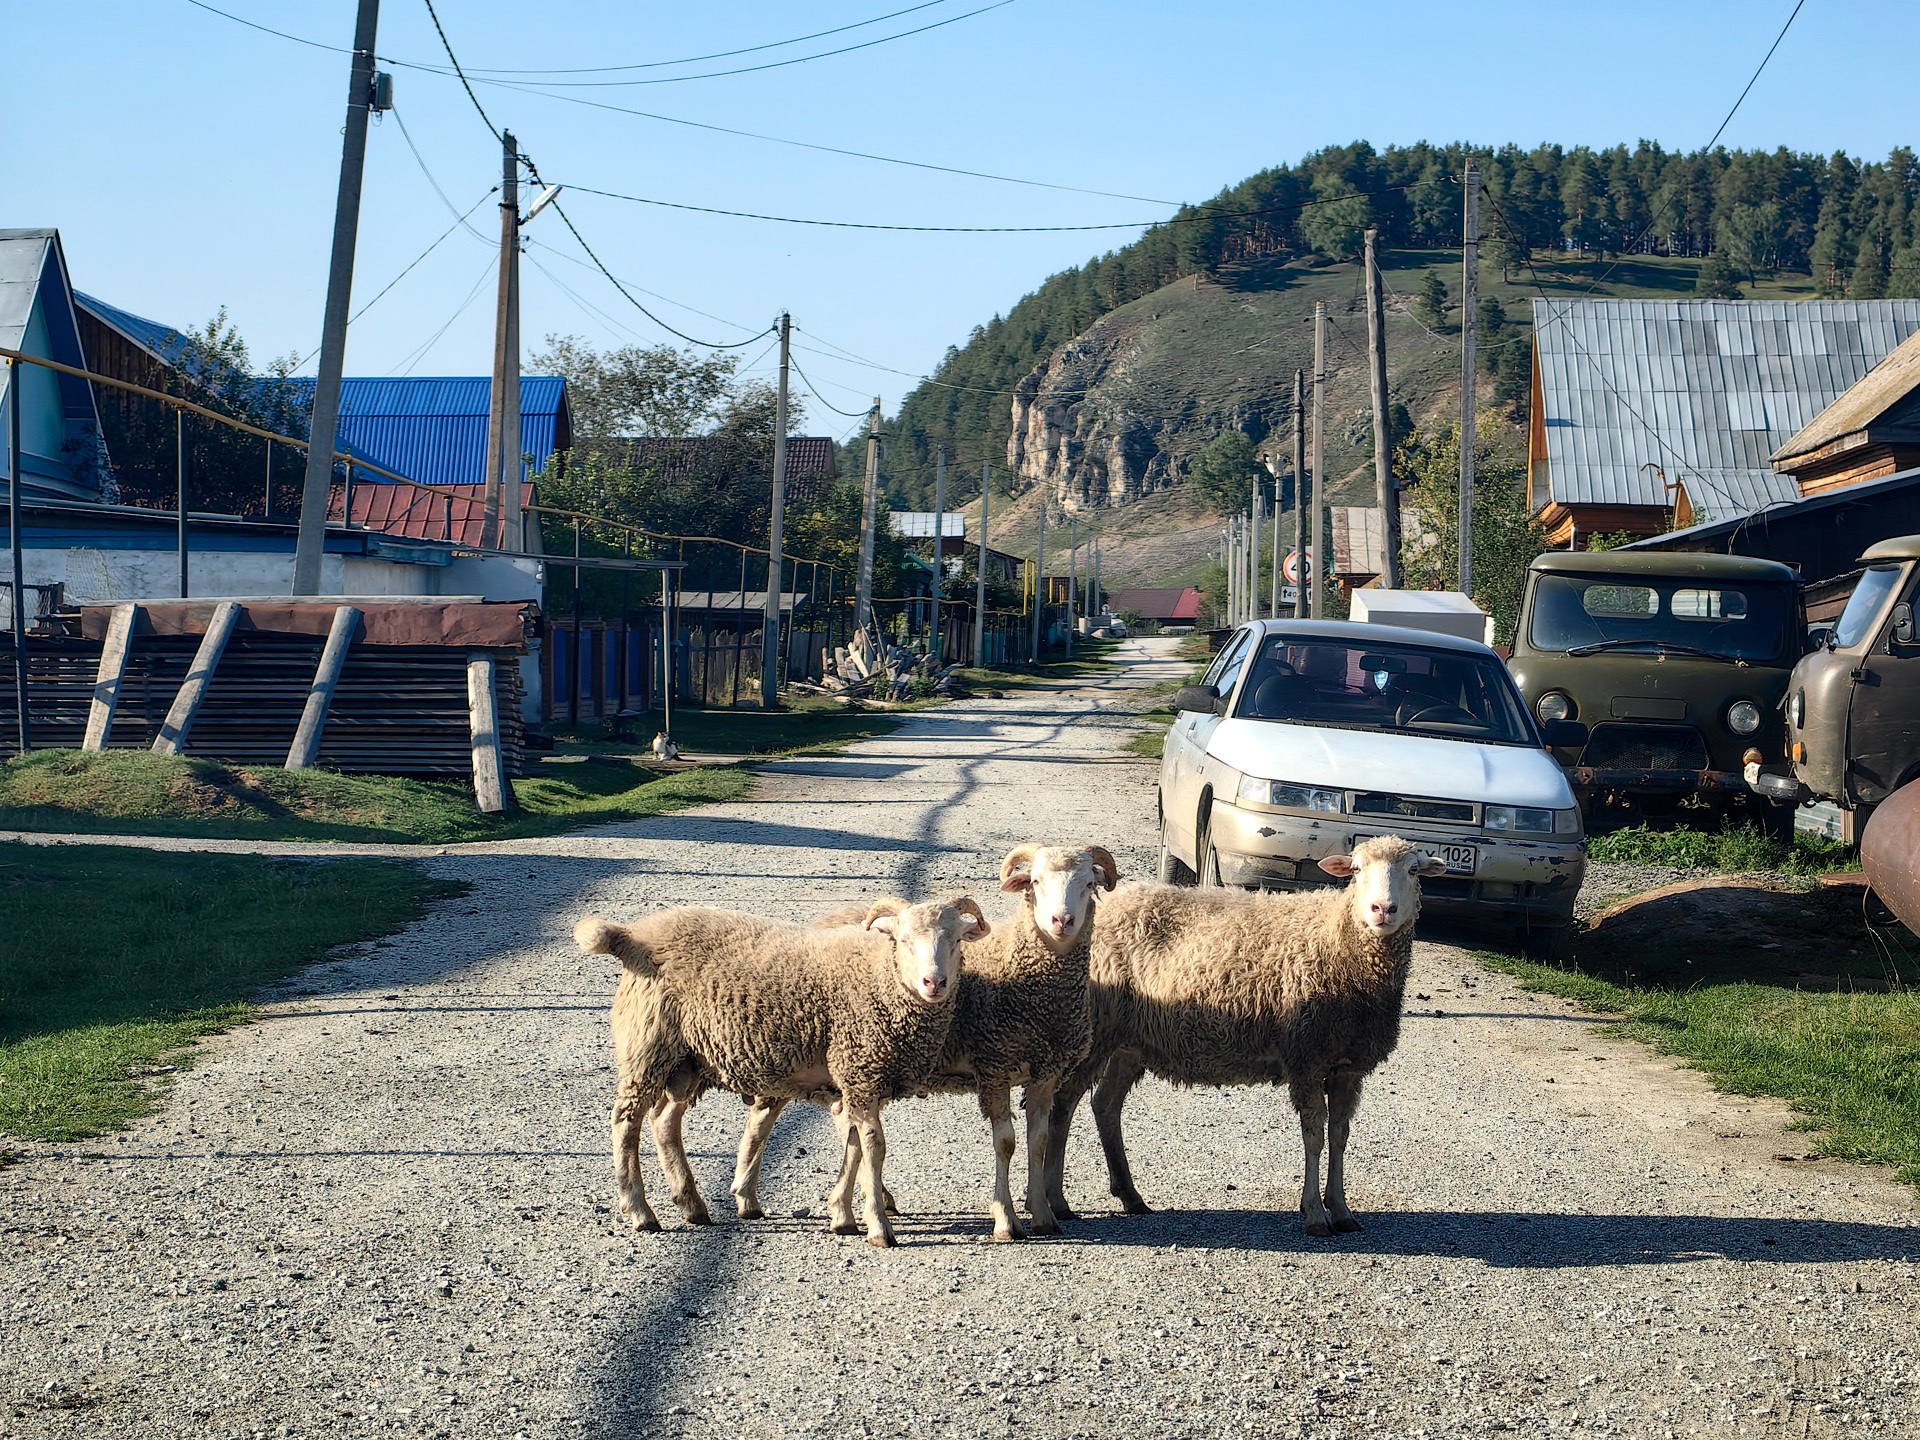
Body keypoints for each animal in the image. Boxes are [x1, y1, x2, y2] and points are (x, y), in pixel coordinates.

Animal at [568, 898, 990, 1244]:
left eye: (957, 942)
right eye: (904, 941)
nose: (934, 982)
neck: (876, 974)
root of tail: (634, 936)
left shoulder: (855, 1080)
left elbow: (853, 1145)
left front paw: (843, 1215)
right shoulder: (860, 1072)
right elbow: (872, 1147)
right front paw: (877, 1226)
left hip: (688, 1059)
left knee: (664, 1121)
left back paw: (692, 1204)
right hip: (648, 1045)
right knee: (626, 1122)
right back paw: (640, 1211)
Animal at [737, 844, 1121, 1244]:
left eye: (1089, 883)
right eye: (1035, 880)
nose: (1062, 921)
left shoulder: (1046, 1072)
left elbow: (1039, 1140)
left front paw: (1043, 1215)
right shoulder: (995, 1068)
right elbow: (1006, 1143)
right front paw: (1005, 1219)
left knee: (843, 1122)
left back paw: (855, 1205)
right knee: (765, 1115)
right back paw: (748, 1196)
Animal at [1052, 833, 1443, 1244]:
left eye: (1413, 870)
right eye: (1356, 870)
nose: (1383, 909)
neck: (1340, 944)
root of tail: (1105, 905)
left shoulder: (1346, 1066)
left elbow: (1340, 1135)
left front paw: (1341, 1209)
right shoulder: (1306, 1056)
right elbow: (1315, 1137)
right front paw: (1315, 1214)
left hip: (1128, 1041)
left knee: (1105, 1105)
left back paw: (1130, 1196)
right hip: (1094, 1031)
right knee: (1063, 1103)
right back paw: (1057, 1202)